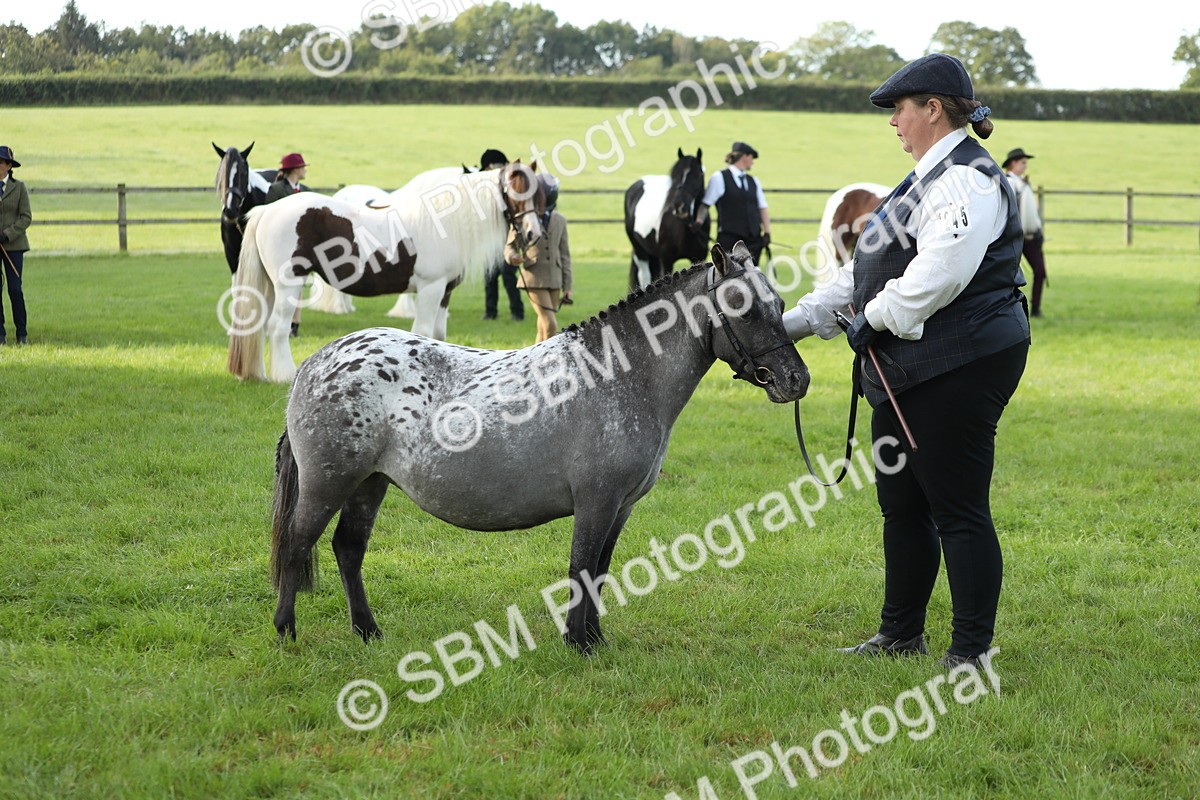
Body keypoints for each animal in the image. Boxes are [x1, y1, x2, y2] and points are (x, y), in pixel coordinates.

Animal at [226, 162, 544, 384]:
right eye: (515, 192)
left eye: (539, 194)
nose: (533, 234)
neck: (444, 223)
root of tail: (267, 211)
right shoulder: (430, 289)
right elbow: (423, 332)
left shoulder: (444, 293)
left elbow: (439, 335)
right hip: (288, 284)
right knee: (277, 327)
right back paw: (284, 375)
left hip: (269, 286)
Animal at [268, 241, 810, 652]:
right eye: (746, 310)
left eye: (782, 307)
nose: (797, 380)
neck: (619, 375)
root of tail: (316, 363)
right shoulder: (595, 502)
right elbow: (581, 567)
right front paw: (578, 643)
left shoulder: (620, 508)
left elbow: (600, 571)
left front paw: (594, 638)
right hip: (328, 483)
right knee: (298, 544)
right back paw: (286, 632)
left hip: (370, 483)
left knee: (348, 549)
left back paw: (368, 632)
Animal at [625, 148, 710, 291]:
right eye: (675, 176)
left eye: (698, 175)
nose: (679, 206)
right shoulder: (666, 259)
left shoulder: (699, 257)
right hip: (639, 251)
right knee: (645, 276)